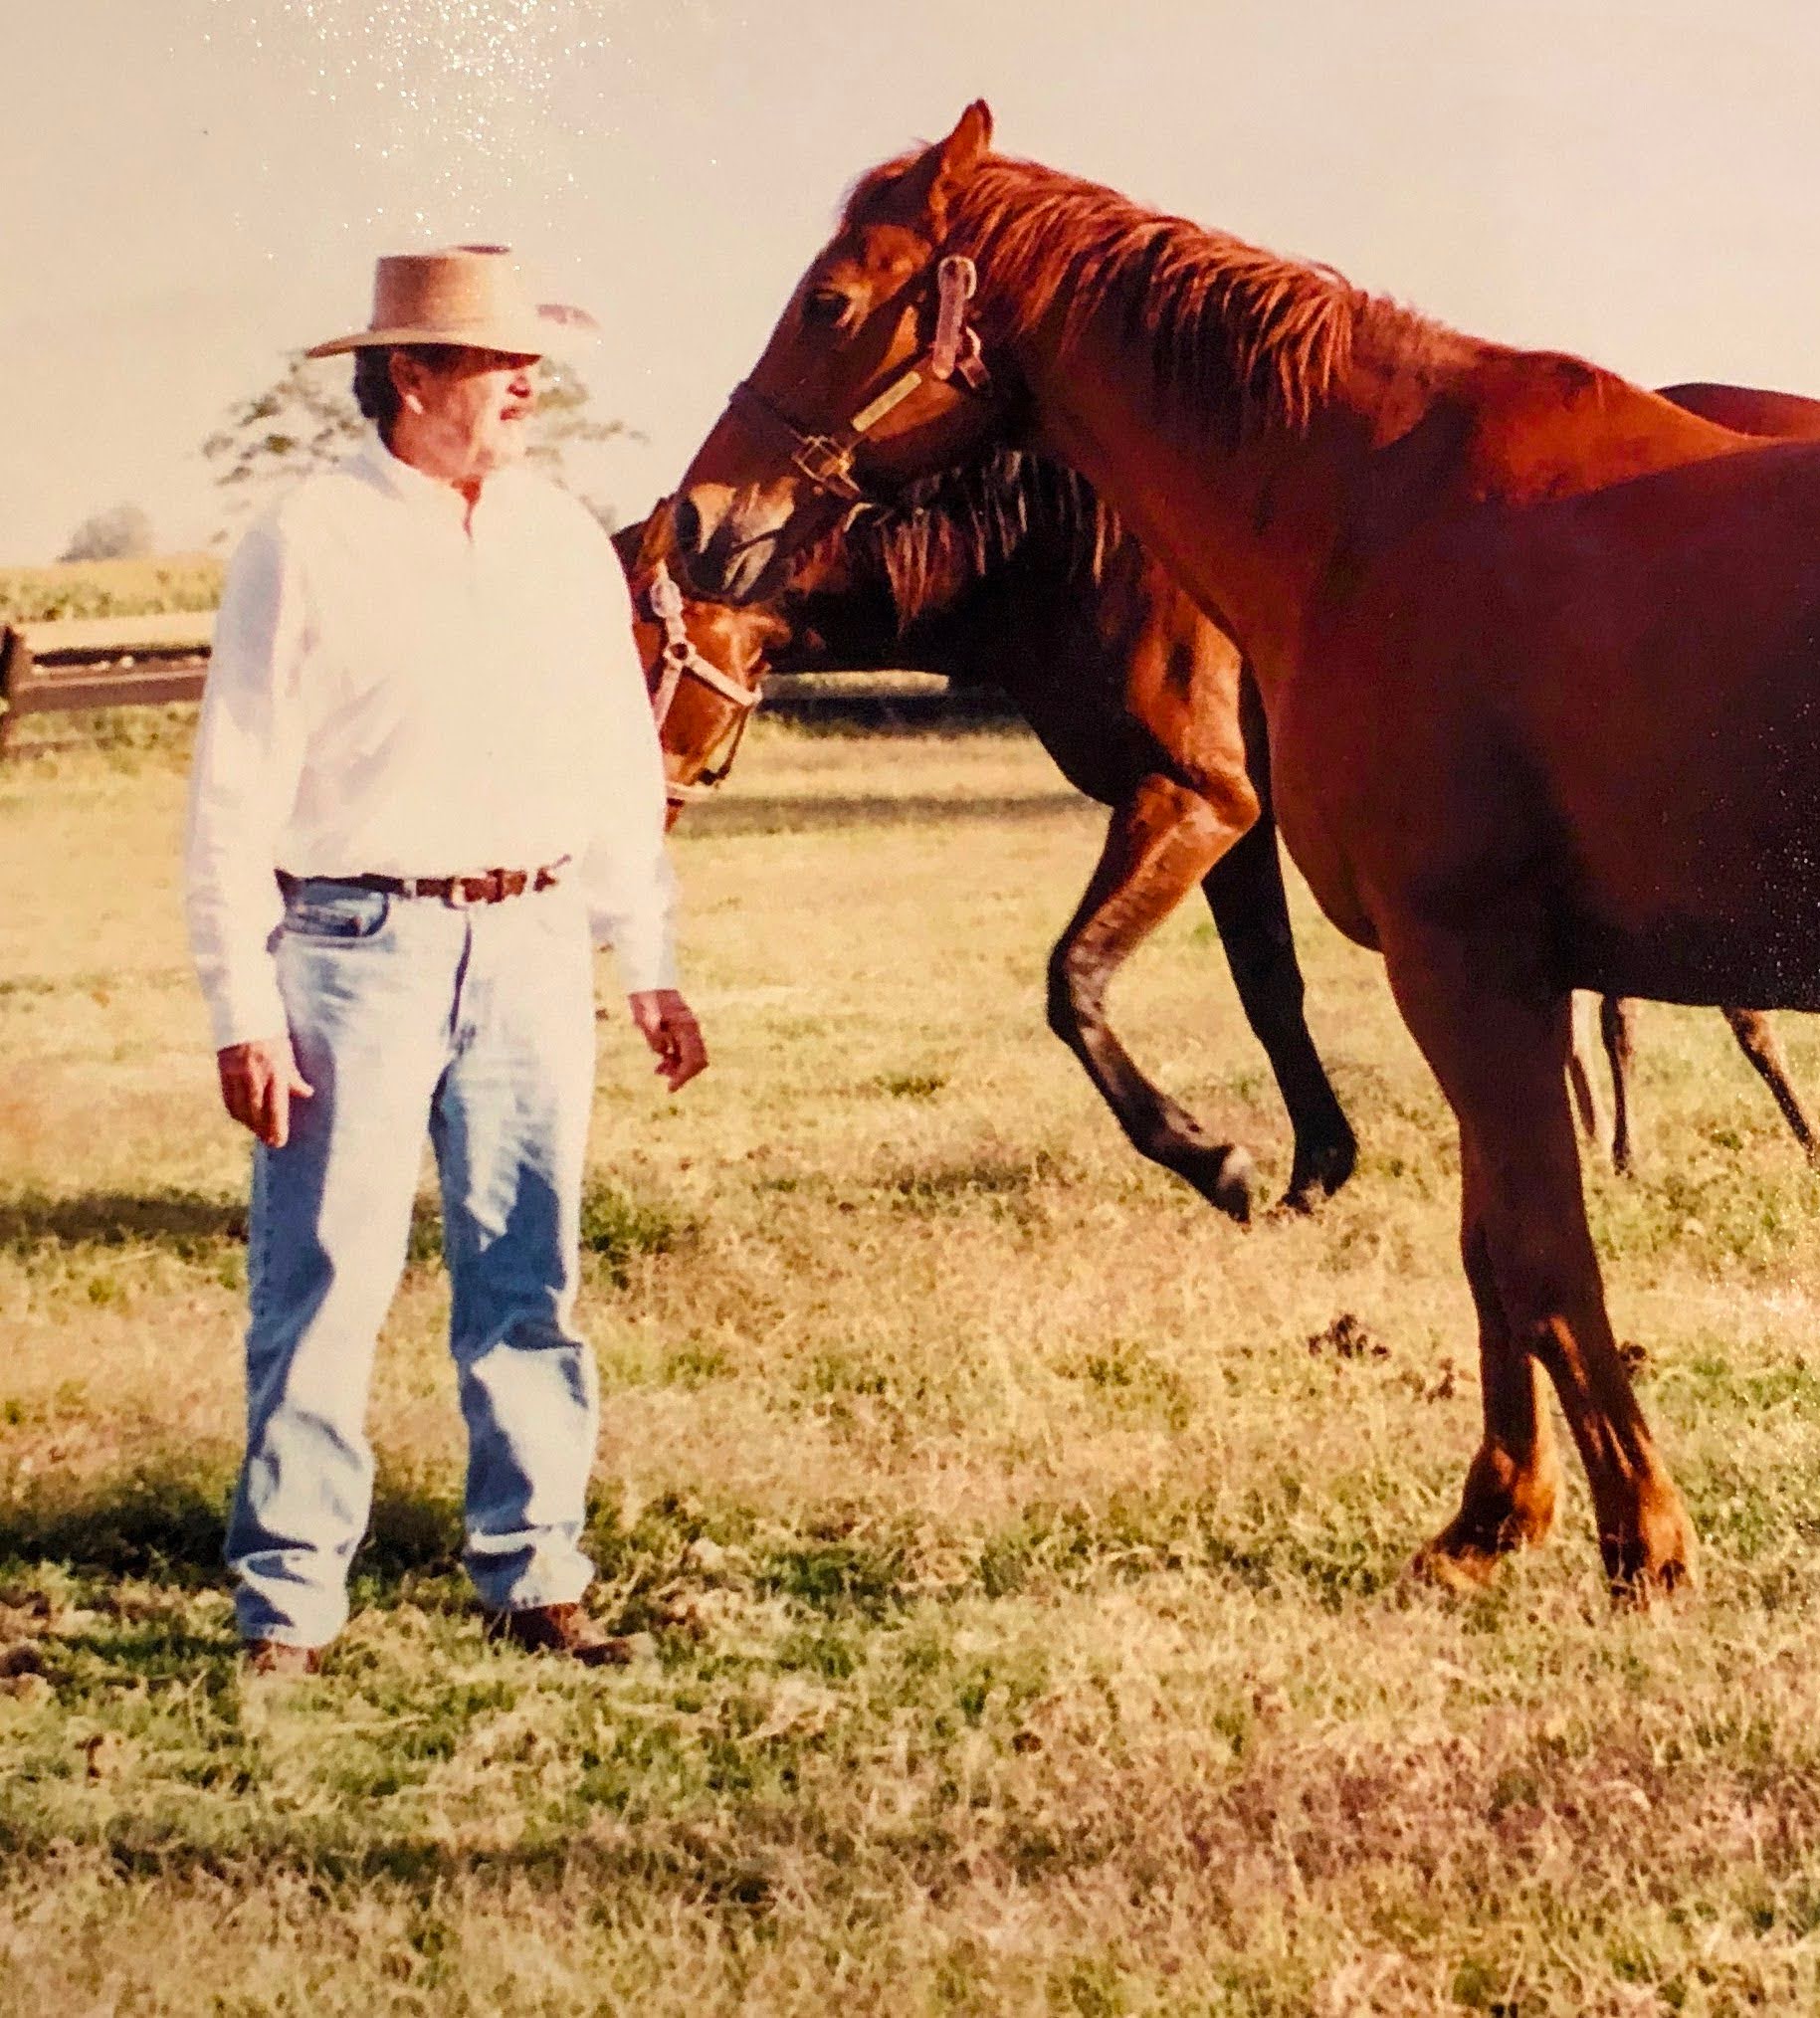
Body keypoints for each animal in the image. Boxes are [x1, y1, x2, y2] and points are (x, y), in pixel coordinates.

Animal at [674, 105, 1820, 1606]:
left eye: (829, 301)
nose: (699, 520)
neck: (1376, 511)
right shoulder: (1465, 976)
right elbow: (1491, 1247)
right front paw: (1490, 1521)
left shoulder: (1455, 961)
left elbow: (1537, 1248)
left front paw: (1639, 1538)